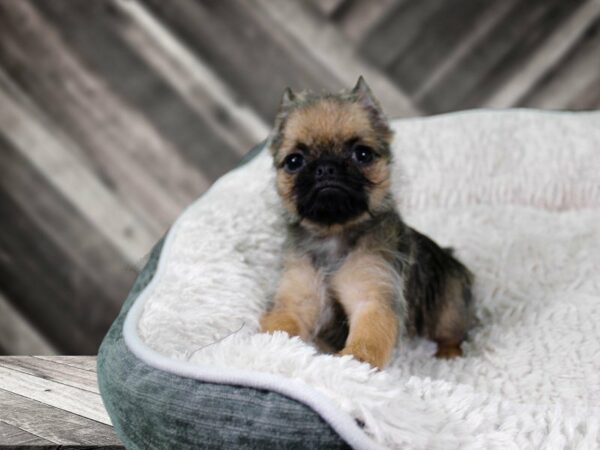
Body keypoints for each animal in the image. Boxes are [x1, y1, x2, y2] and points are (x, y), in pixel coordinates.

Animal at [258, 75, 474, 368]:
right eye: (294, 161)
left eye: (362, 154)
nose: (326, 167)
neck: (334, 235)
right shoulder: (297, 298)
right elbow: (282, 325)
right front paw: (269, 346)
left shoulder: (372, 296)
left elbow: (368, 339)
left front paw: (354, 361)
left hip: (449, 306)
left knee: (451, 334)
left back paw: (448, 355)